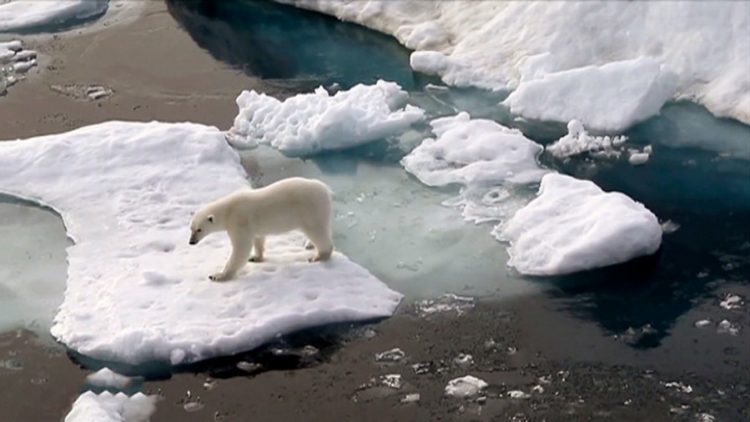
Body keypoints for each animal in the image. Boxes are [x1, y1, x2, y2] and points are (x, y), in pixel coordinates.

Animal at [191, 176, 334, 282]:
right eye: (191, 228)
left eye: (199, 229)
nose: (191, 242)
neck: (228, 210)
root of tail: (324, 188)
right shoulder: (250, 225)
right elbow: (258, 239)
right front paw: (255, 257)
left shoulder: (239, 221)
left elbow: (241, 248)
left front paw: (218, 275)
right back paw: (309, 245)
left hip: (309, 210)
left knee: (316, 230)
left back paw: (318, 256)